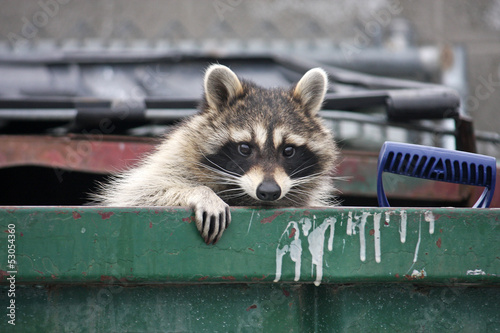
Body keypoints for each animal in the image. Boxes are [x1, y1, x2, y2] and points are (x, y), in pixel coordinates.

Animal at [92, 63, 338, 243]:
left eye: (288, 150)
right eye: (245, 148)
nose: (269, 191)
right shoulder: (173, 158)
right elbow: (139, 193)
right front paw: (201, 193)